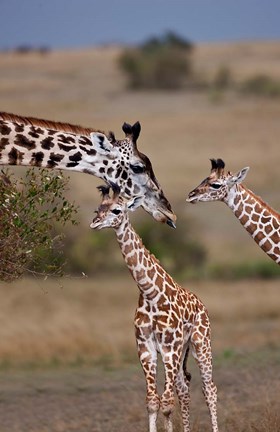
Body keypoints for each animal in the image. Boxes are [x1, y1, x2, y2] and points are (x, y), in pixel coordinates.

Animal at [90, 184, 219, 432]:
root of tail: (202, 305)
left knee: (209, 389)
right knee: (184, 389)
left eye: (117, 210)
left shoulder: (169, 347)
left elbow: (166, 403)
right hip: (182, 351)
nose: (94, 223)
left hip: (200, 343)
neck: (150, 293)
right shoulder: (145, 346)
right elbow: (152, 401)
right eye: (97, 208)